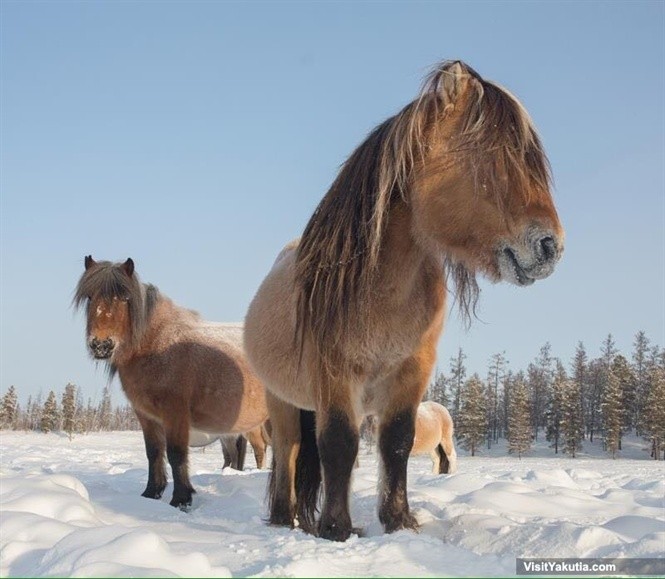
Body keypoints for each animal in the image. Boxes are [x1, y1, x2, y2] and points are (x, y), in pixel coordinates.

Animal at [74, 258, 268, 508]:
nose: (101, 345)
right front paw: (151, 493)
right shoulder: (146, 415)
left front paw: (181, 499)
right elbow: (154, 452)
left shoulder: (175, 412)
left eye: (125, 298)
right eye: (90, 296)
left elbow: (176, 453)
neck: (157, 344)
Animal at [246, 61, 564, 540]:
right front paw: (337, 529)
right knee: (288, 449)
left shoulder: (411, 373)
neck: (378, 292)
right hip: (283, 399)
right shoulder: (335, 373)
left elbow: (394, 444)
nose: (550, 247)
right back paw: (286, 518)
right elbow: (338, 444)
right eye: (492, 155)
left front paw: (398, 521)